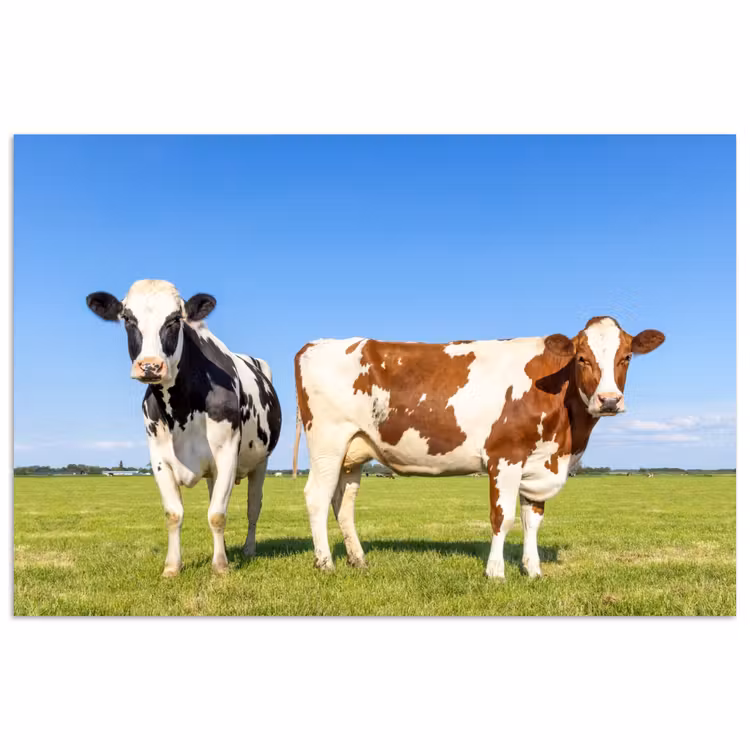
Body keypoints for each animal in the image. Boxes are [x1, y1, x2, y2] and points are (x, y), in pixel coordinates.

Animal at [87, 280, 281, 576]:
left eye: (175, 320)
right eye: (128, 319)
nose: (150, 366)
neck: (180, 409)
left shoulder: (227, 454)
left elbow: (217, 514)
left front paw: (221, 566)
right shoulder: (159, 459)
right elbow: (175, 513)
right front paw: (172, 566)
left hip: (260, 463)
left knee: (252, 507)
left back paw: (248, 549)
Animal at [294, 316, 664, 579]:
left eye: (626, 357)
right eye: (583, 358)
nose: (609, 401)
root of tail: (316, 343)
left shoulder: (540, 462)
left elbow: (532, 519)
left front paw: (533, 570)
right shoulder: (505, 456)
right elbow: (503, 517)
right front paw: (496, 572)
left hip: (353, 451)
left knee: (343, 502)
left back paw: (358, 560)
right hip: (327, 441)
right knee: (316, 497)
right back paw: (325, 563)